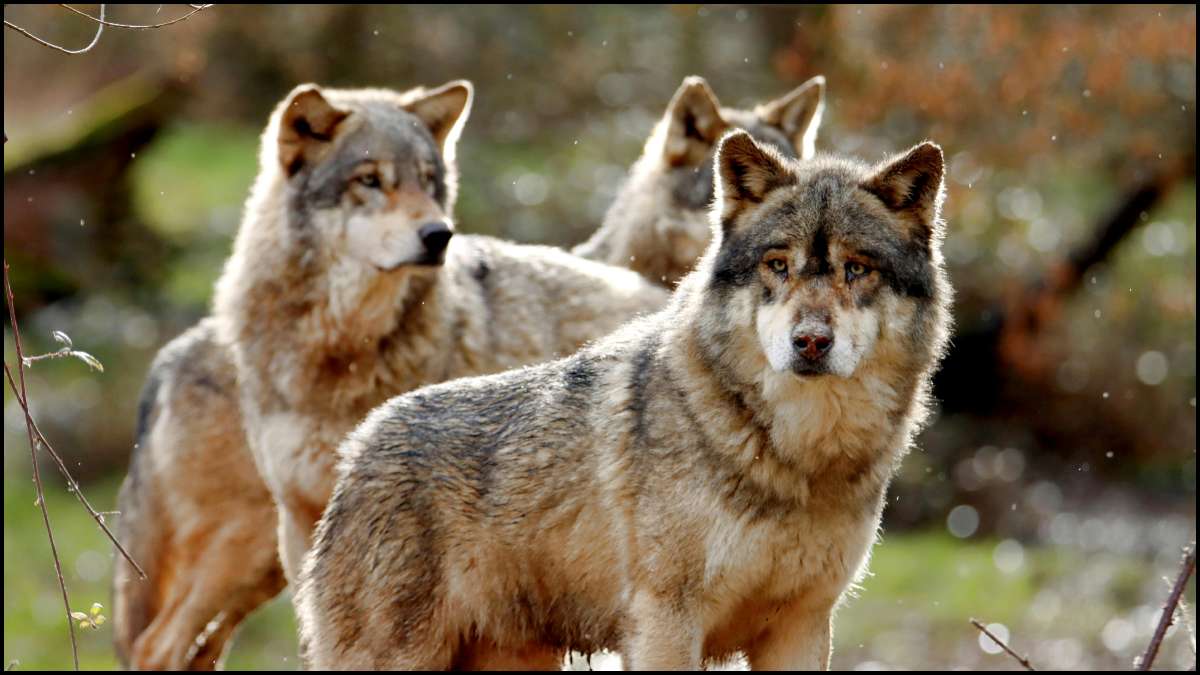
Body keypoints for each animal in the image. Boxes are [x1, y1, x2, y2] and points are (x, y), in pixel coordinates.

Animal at [296, 130, 953, 670]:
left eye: (857, 269)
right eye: (778, 265)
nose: (811, 342)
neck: (796, 457)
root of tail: (360, 444)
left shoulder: (803, 626)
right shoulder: (666, 621)